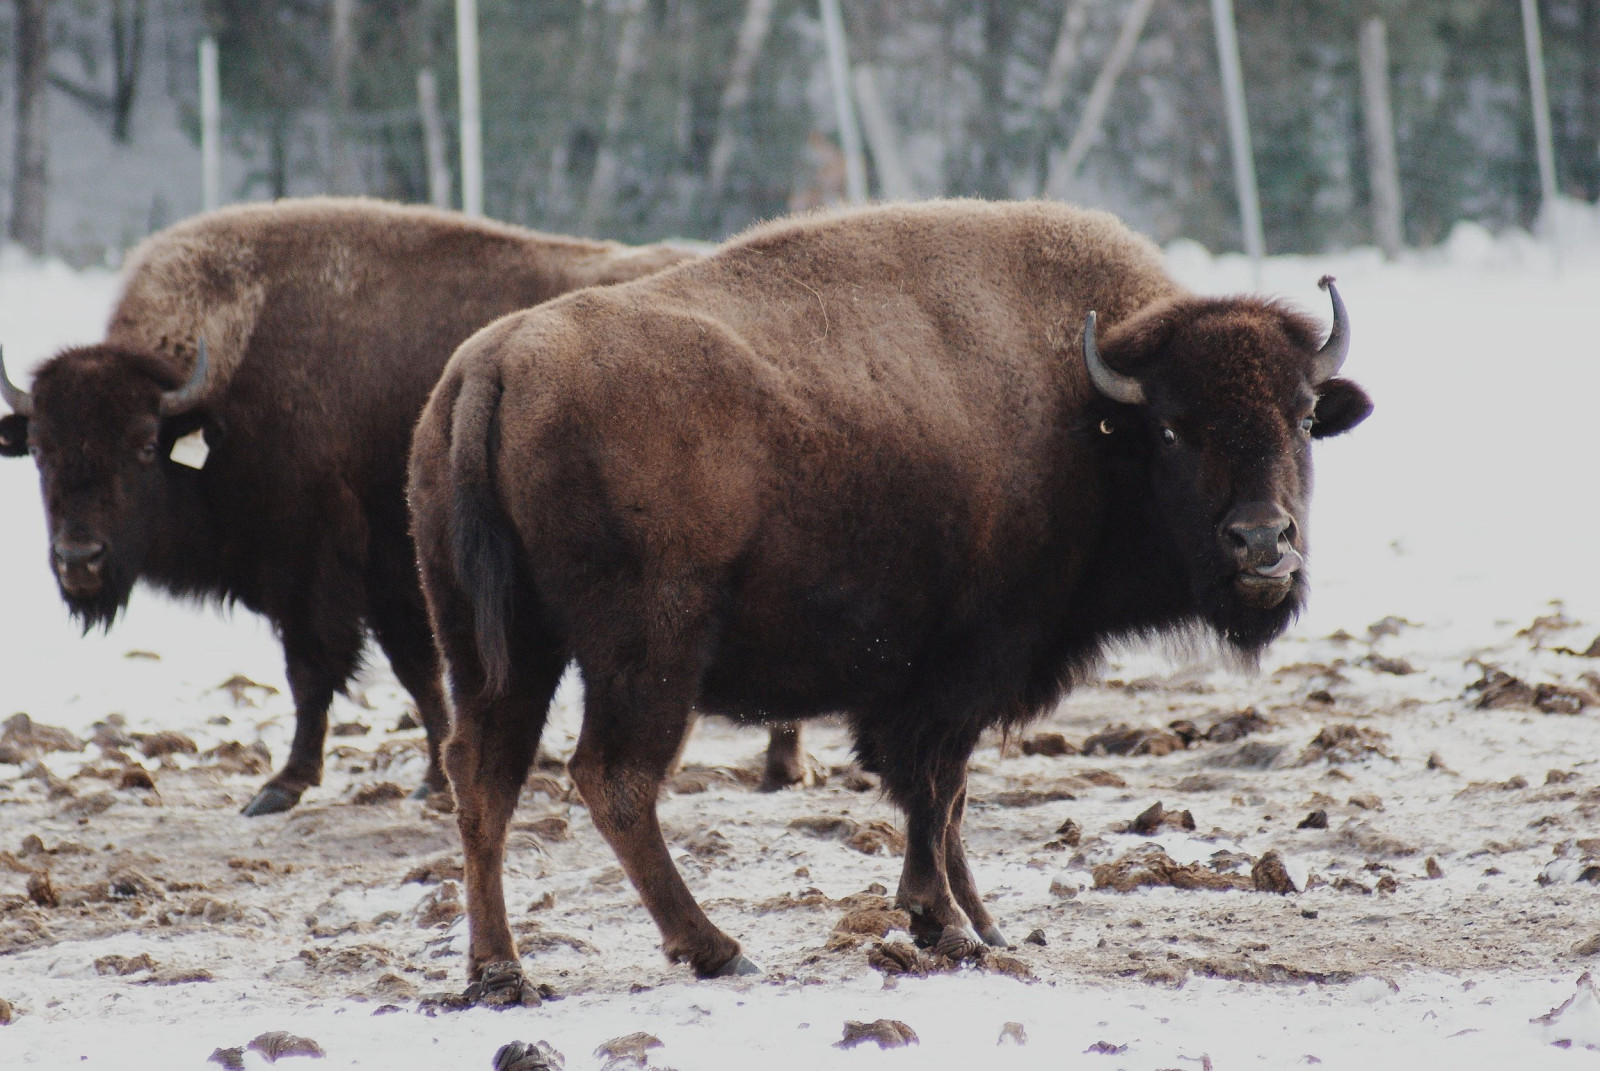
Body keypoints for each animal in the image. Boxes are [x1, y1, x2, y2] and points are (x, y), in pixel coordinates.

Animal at [0, 197, 703, 815]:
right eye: (39, 448)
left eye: (145, 445)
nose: (79, 559)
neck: (222, 390)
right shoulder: (389, 582)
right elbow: (417, 673)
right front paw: (430, 779)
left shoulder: (314, 578)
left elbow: (316, 676)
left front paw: (280, 787)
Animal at [407, 198, 1372, 992]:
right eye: (1175, 428)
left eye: (1301, 416)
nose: (1262, 543)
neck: (1087, 412)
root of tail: (493, 364)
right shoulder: (967, 666)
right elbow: (935, 789)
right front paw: (939, 918)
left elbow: (946, 800)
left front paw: (980, 920)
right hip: (649, 647)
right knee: (613, 778)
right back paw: (716, 948)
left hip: (494, 646)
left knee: (483, 775)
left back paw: (499, 969)